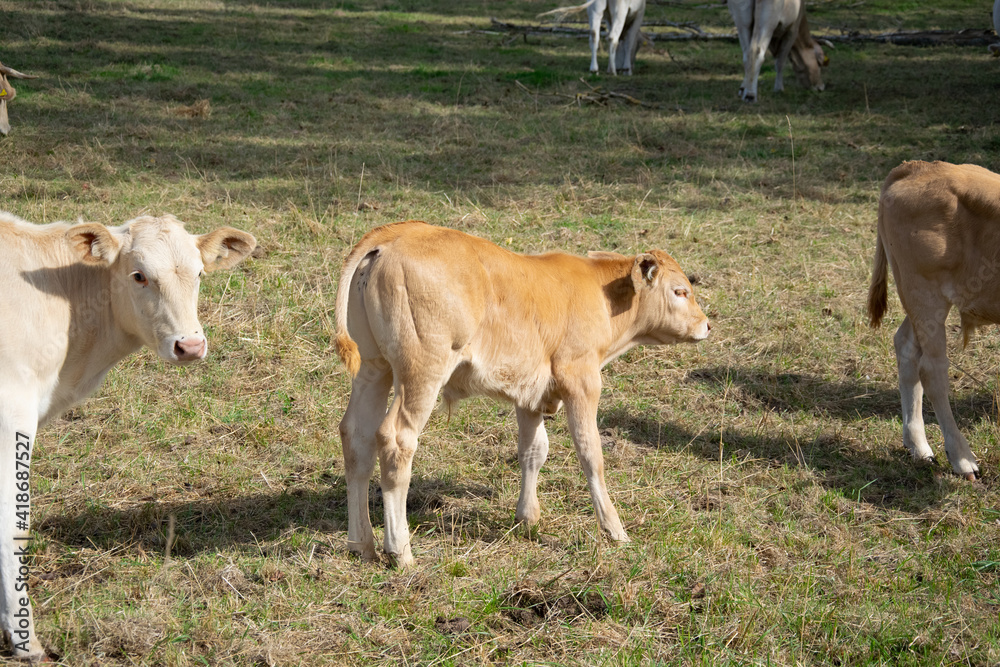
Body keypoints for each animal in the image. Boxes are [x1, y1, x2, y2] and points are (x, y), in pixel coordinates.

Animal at [0, 212, 255, 659]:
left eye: (199, 273)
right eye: (139, 275)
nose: (191, 345)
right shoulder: (12, 414)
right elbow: (13, 525)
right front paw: (25, 640)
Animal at [334, 221, 710, 567]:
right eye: (680, 291)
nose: (706, 325)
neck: (601, 295)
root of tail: (396, 233)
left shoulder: (531, 392)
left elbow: (533, 450)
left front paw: (527, 518)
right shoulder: (581, 379)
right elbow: (590, 452)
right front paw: (615, 530)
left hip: (374, 368)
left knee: (357, 437)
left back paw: (361, 543)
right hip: (422, 370)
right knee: (397, 440)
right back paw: (400, 551)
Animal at [866, 160, 1000, 481]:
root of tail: (919, 167)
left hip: (921, 301)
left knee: (906, 346)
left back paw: (918, 445)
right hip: (925, 292)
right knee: (932, 369)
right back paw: (962, 458)